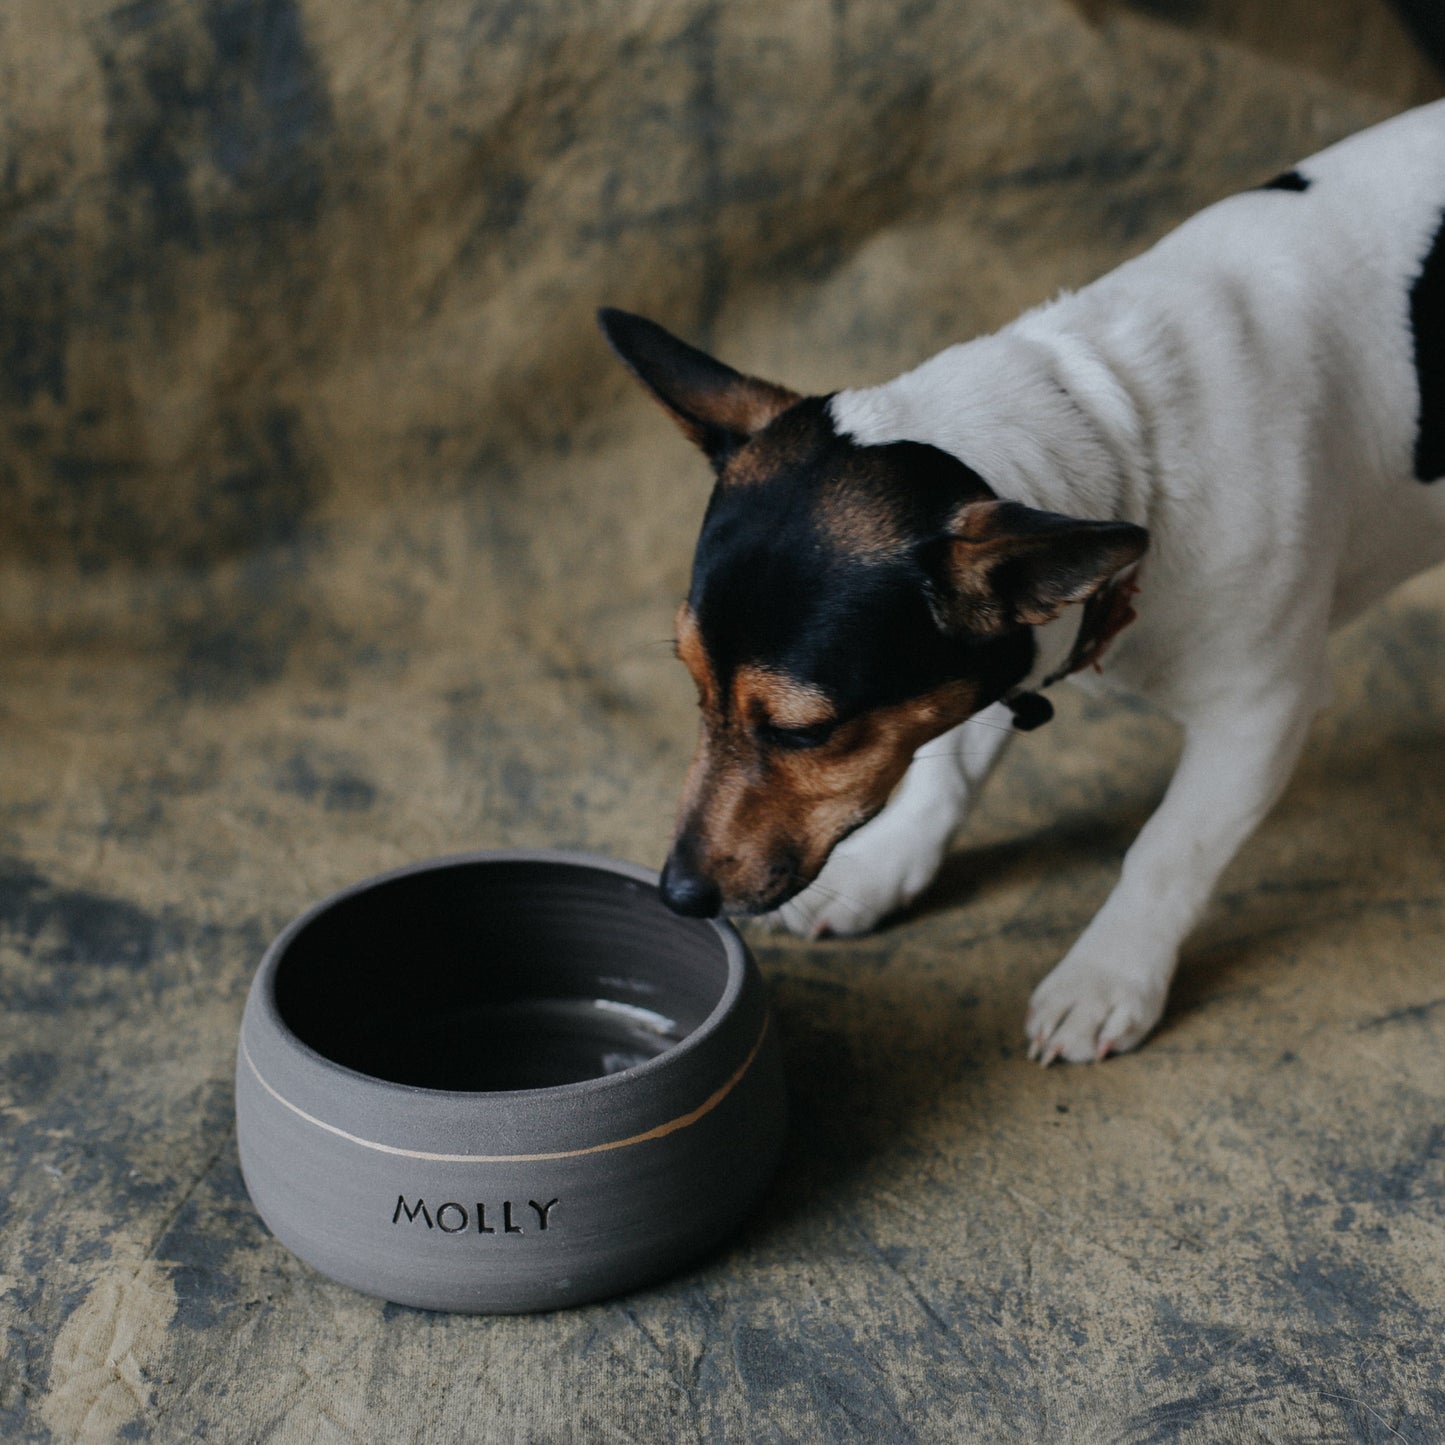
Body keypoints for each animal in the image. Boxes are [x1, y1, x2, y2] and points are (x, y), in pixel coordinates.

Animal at [595, 101, 1445, 1063]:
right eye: (690, 684)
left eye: (806, 733)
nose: (678, 895)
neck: (1117, 424)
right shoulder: (993, 662)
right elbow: (949, 764)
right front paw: (885, 866)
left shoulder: (1260, 711)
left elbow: (1169, 848)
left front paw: (1106, 975)